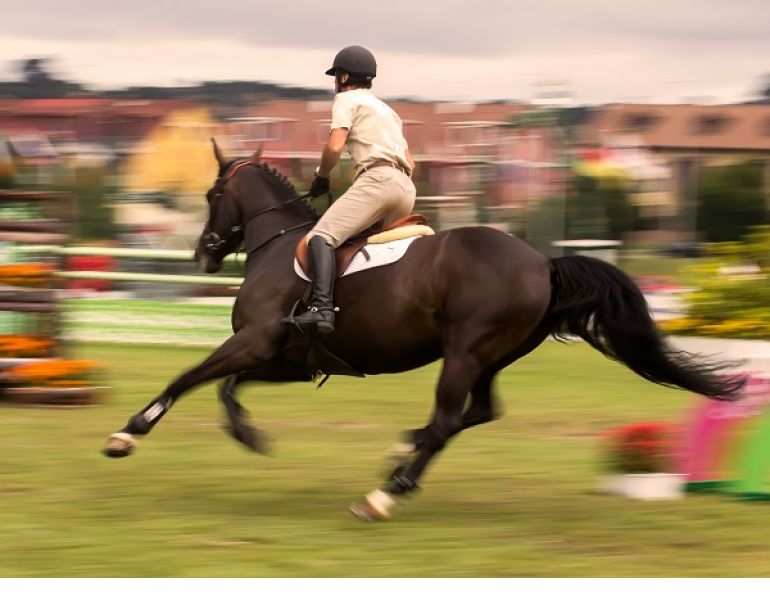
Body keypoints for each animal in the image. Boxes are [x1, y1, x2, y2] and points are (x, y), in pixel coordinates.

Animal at [102, 142, 745, 521]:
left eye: (212, 195)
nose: (202, 255)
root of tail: (542, 262)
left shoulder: (254, 342)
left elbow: (189, 376)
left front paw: (127, 434)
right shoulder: (285, 358)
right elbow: (226, 387)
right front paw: (247, 433)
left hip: (464, 353)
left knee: (446, 420)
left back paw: (384, 494)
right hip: (488, 357)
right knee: (476, 412)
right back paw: (399, 457)